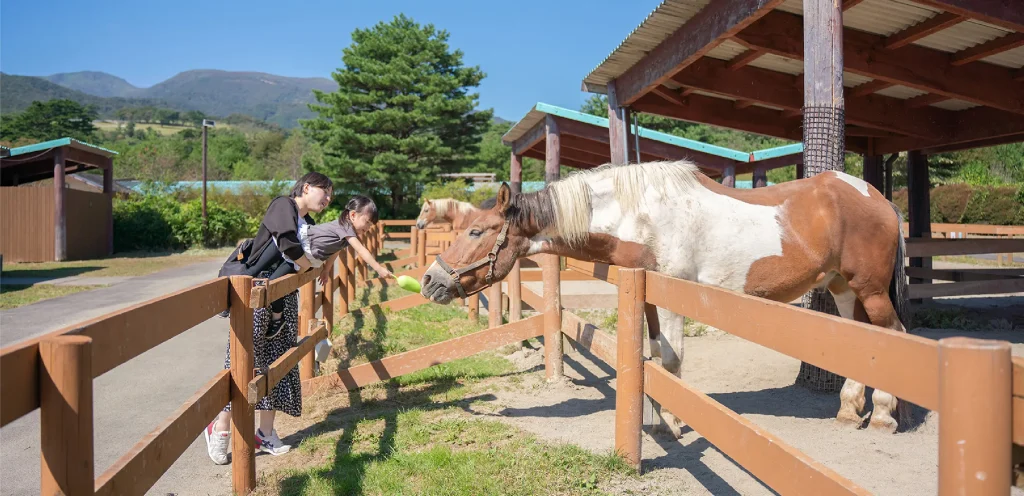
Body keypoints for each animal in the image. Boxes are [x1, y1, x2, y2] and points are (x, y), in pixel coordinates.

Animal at [419, 160, 917, 436]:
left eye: (477, 232)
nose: (430, 280)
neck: (640, 214)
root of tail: (879, 198)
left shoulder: (676, 293)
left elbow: (673, 360)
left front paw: (674, 426)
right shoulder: (652, 298)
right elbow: (657, 357)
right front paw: (660, 421)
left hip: (869, 289)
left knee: (894, 336)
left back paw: (884, 417)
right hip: (843, 288)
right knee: (863, 344)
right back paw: (850, 411)